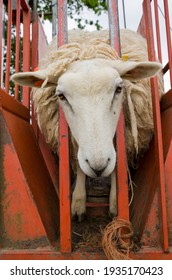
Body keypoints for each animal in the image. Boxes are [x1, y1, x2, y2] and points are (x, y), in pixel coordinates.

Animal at [11, 28, 164, 221]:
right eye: (61, 95)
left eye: (118, 89)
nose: (98, 166)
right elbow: (79, 164)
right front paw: (78, 201)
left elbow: (117, 163)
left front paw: (116, 202)